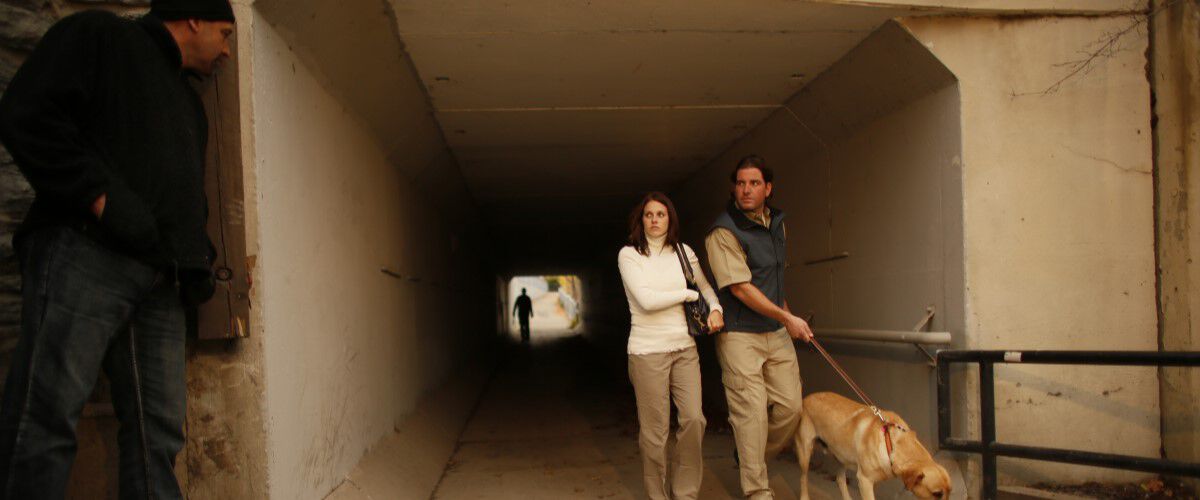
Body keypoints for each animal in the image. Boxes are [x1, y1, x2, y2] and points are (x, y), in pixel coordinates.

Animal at [792, 390, 950, 496]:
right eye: (937, 494)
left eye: (950, 492)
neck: (890, 442)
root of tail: (806, 398)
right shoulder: (864, 481)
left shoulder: (874, 481)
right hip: (805, 452)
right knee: (802, 478)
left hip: (842, 457)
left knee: (840, 479)